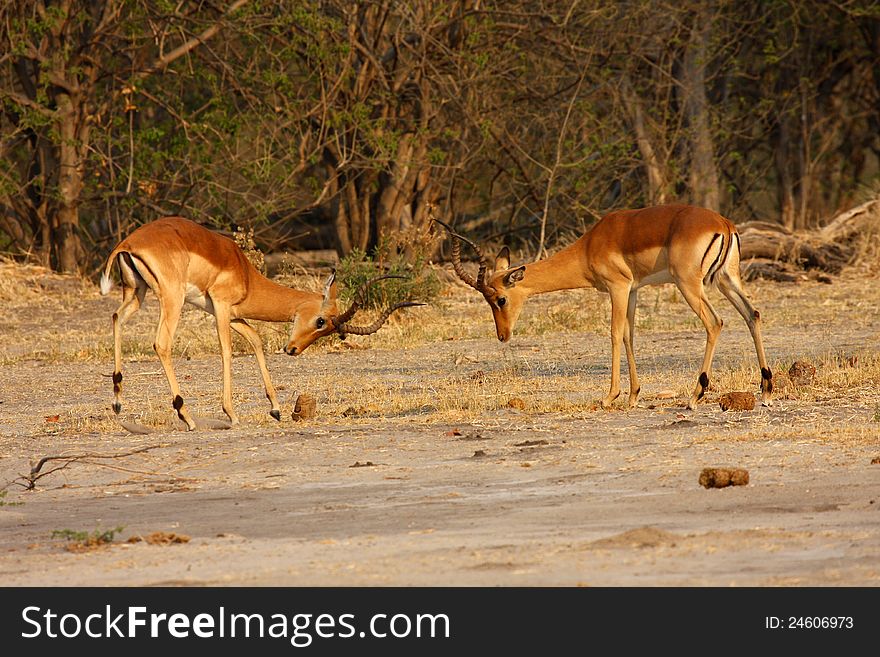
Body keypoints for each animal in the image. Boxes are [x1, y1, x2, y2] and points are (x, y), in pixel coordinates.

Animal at [102, 217, 420, 430]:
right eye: (321, 321)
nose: (293, 349)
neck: (245, 273)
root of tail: (128, 244)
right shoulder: (220, 308)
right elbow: (227, 351)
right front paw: (231, 413)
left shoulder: (231, 314)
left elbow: (255, 340)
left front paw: (276, 409)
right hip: (172, 298)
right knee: (161, 343)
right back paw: (186, 416)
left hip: (137, 292)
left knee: (116, 317)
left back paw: (118, 402)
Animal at [438, 205, 768, 410]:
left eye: (500, 299)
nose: (502, 335)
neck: (589, 246)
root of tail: (723, 224)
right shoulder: (632, 290)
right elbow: (629, 335)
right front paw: (633, 396)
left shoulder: (617, 287)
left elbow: (613, 333)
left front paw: (610, 397)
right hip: (726, 279)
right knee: (752, 314)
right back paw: (766, 390)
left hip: (689, 284)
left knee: (715, 322)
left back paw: (694, 396)